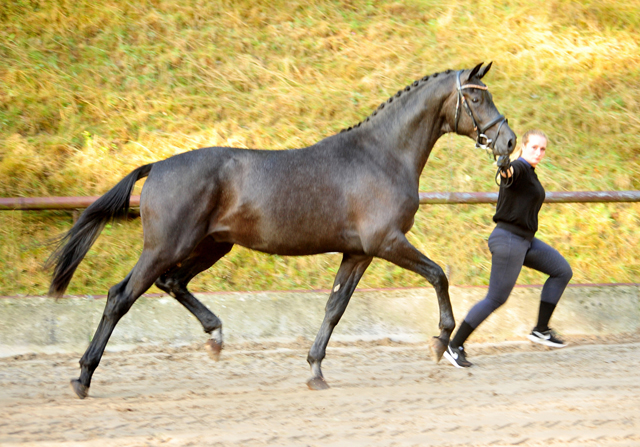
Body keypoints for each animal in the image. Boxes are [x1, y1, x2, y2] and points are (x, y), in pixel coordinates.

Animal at [46, 62, 516, 400]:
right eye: (476, 96)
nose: (508, 142)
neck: (381, 156)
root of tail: (157, 165)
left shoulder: (358, 253)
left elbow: (334, 308)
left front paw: (316, 370)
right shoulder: (387, 243)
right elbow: (438, 275)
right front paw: (440, 342)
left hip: (210, 246)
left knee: (171, 282)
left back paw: (215, 337)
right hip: (166, 246)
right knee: (120, 297)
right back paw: (83, 378)